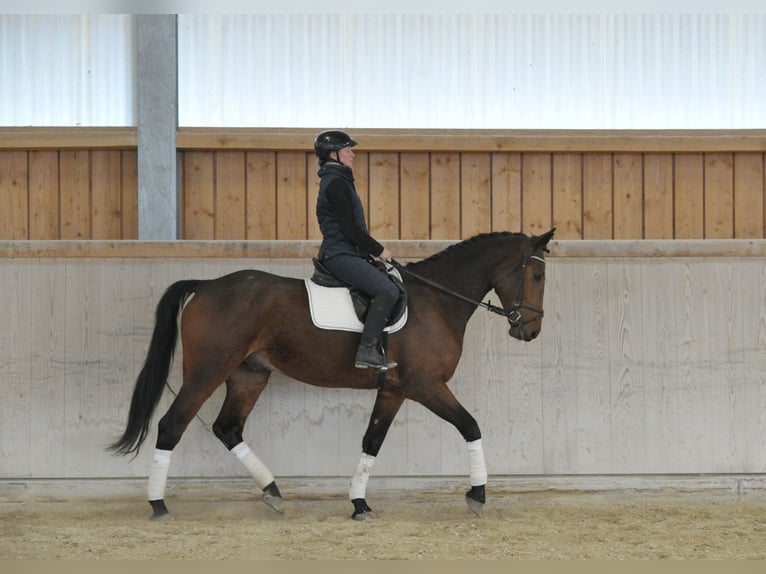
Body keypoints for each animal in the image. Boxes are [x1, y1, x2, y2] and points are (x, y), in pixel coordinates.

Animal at [109, 228, 555, 521]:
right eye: (536, 276)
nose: (531, 331)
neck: (436, 301)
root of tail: (206, 285)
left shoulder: (394, 390)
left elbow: (372, 442)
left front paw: (359, 503)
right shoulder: (426, 386)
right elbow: (471, 426)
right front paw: (477, 494)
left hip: (249, 375)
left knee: (228, 428)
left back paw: (273, 492)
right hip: (208, 370)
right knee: (172, 425)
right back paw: (158, 505)